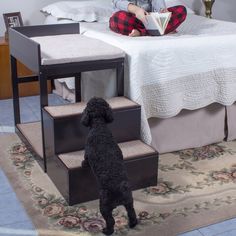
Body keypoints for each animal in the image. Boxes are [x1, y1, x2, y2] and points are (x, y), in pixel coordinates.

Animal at [80, 97, 137, 234]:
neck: (99, 126)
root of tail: (121, 190)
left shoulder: (87, 150)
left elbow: (85, 159)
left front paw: (83, 164)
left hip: (104, 205)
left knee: (111, 221)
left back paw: (106, 231)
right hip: (129, 202)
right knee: (132, 213)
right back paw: (132, 224)